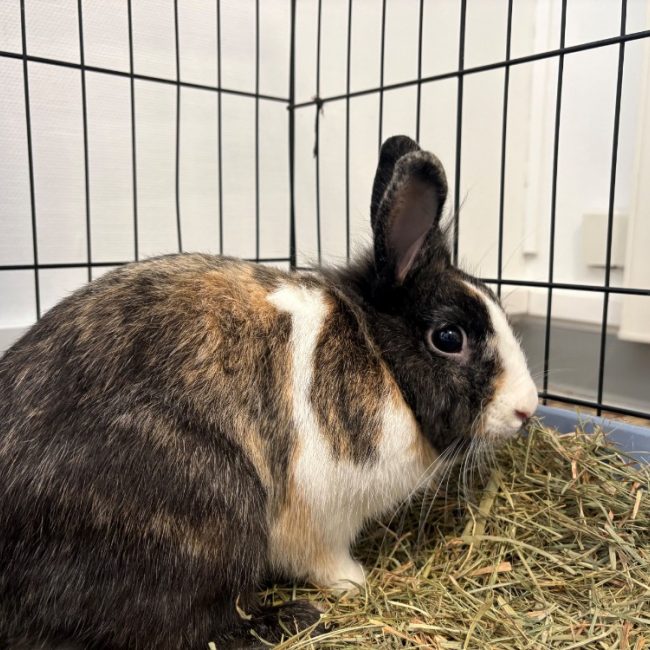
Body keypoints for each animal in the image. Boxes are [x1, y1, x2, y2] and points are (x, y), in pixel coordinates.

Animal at [0, 135, 539, 649]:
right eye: (448, 338)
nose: (528, 408)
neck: (379, 357)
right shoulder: (321, 517)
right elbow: (326, 561)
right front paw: (355, 581)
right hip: (210, 508)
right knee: (187, 628)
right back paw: (293, 619)